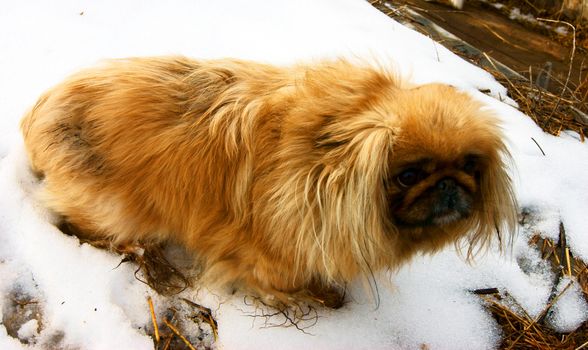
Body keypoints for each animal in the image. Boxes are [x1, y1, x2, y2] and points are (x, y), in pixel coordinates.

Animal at [20, 56, 516, 308]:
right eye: (408, 175)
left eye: (469, 166)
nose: (449, 185)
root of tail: (38, 111)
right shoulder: (272, 255)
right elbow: (281, 280)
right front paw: (312, 296)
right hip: (116, 209)